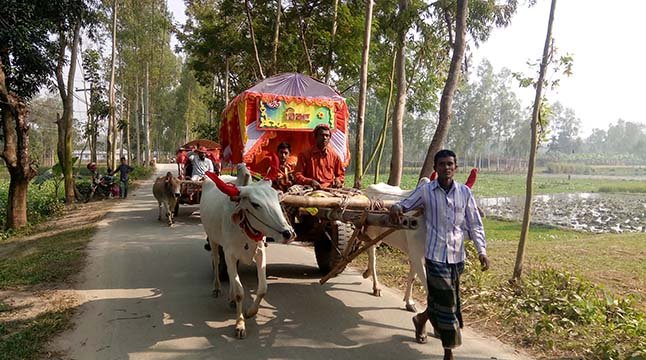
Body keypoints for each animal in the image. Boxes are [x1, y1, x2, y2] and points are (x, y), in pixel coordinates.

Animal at [200, 165, 296, 338]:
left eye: (276, 198)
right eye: (255, 204)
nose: (288, 233)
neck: (244, 228)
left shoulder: (260, 252)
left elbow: (263, 288)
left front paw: (251, 312)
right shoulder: (229, 253)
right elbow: (240, 292)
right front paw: (240, 324)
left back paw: (230, 299)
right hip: (213, 239)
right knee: (216, 262)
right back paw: (217, 288)